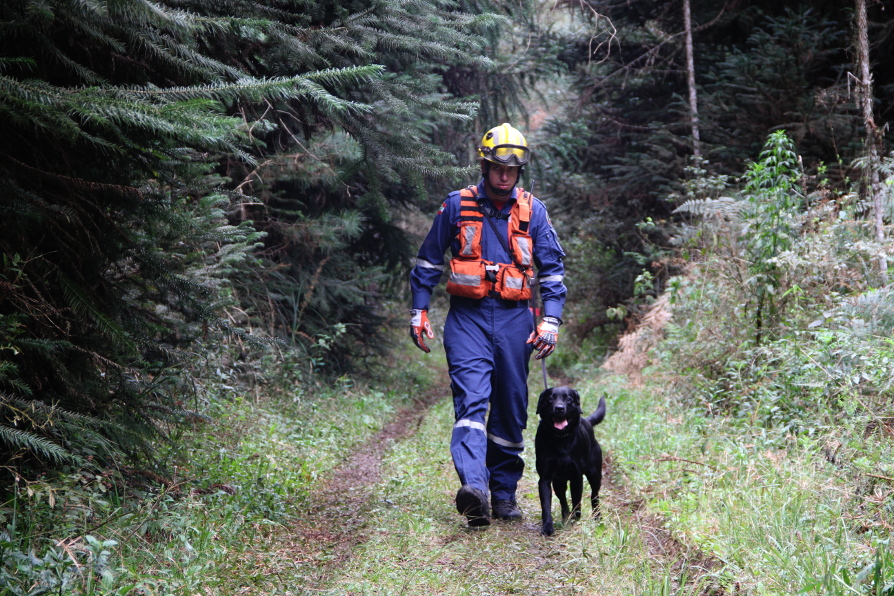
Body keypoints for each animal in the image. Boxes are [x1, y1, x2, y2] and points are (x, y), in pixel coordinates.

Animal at [536, 386, 604, 536]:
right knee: (563, 499)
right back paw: (565, 516)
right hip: (558, 482)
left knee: (594, 496)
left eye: (568, 399)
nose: (559, 408)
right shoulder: (545, 478)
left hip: (595, 475)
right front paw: (547, 527)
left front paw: (576, 518)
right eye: (550, 398)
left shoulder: (576, 477)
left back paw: (597, 517)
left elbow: (577, 500)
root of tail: (587, 421)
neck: (560, 439)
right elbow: (546, 505)